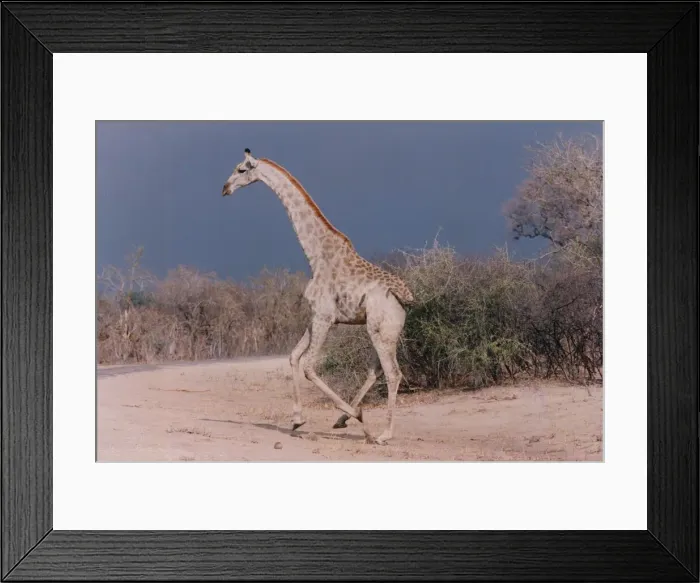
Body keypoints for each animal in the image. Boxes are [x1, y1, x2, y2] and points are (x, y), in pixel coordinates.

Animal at [222, 149, 414, 444]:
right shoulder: (316, 317)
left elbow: (309, 366)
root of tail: (404, 297)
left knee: (393, 373)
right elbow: (293, 356)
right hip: (385, 330)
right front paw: (297, 420)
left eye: (241, 170)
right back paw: (342, 420)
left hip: (379, 329)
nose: (225, 188)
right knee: (377, 369)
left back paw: (382, 433)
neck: (315, 255)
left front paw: (360, 419)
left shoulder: (324, 316)